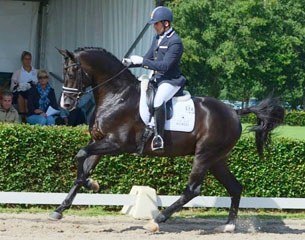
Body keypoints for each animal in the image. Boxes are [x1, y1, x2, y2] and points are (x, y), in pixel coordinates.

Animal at [48, 47, 284, 232]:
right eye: (64, 71)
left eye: (73, 70)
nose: (66, 104)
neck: (117, 95)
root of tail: (234, 112)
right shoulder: (99, 141)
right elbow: (82, 167)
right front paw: (62, 207)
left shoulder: (116, 144)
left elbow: (80, 155)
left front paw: (91, 184)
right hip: (217, 159)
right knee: (235, 188)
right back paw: (228, 226)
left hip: (204, 155)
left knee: (193, 189)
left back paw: (157, 220)